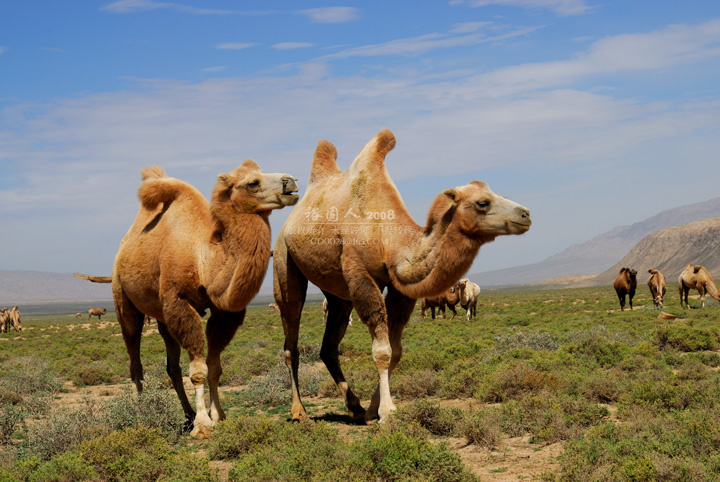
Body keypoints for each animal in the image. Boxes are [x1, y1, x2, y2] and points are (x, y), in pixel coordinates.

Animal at [74, 162, 296, 436]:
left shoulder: (222, 312)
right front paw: (202, 424)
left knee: (172, 367)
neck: (205, 259)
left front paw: (217, 415)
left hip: (162, 317)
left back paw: (187, 413)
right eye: (252, 183)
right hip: (123, 301)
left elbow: (214, 367)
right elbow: (199, 370)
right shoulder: (180, 302)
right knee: (135, 359)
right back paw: (143, 412)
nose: (290, 181)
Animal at [272, 129, 532, 422]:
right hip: (284, 260)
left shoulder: (400, 288)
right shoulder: (360, 273)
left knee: (328, 347)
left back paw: (354, 406)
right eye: (482, 203)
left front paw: (372, 409)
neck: (390, 238)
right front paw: (387, 412)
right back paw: (299, 411)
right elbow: (382, 351)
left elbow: (395, 351)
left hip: (338, 294)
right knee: (291, 340)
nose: (525, 214)